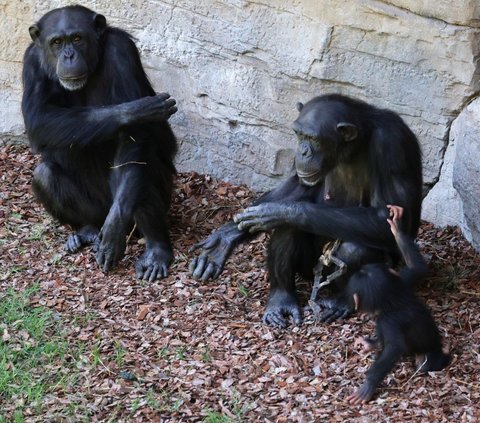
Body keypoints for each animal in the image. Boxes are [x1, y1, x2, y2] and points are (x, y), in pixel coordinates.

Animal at [21, 5, 177, 282]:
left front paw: (114, 229)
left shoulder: (121, 51)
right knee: (44, 174)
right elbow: (38, 118)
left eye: (77, 38)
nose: (69, 55)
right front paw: (134, 111)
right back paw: (86, 231)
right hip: (94, 210)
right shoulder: (31, 62)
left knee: (140, 171)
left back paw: (156, 250)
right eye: (57, 42)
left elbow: (134, 139)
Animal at [189, 95, 422, 328]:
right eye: (299, 134)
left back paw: (341, 302)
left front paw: (280, 212)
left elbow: (390, 218)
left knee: (354, 248)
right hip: (308, 269)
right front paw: (227, 235)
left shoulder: (393, 145)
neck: (354, 146)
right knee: (287, 231)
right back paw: (281, 299)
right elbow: (298, 184)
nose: (302, 150)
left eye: (313, 138)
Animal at [344, 207, 450, 406]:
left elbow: (394, 348)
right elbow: (417, 268)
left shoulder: (388, 321)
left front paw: (368, 385)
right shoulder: (403, 281)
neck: (392, 299)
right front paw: (396, 227)